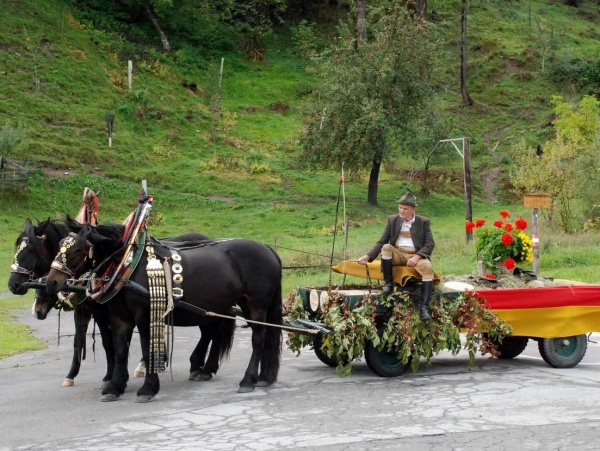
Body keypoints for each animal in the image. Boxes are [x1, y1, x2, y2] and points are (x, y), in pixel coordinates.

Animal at [44, 222, 284, 402]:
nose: (50, 283)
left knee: (258, 339)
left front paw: (147, 388)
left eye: (78, 250)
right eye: (60, 245)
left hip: (256, 305)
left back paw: (248, 380)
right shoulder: (120, 318)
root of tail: (268, 249)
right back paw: (258, 376)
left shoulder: (145, 316)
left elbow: (146, 348)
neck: (128, 266)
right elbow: (120, 350)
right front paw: (115, 387)